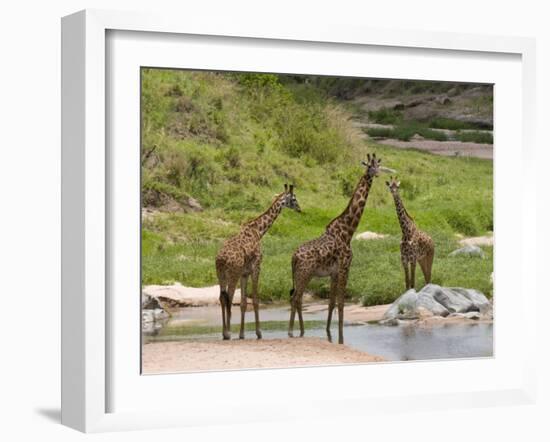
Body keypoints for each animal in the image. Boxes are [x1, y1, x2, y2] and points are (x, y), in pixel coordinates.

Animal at [216, 185, 302, 340]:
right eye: (293, 199)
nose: (300, 209)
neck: (259, 231)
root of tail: (220, 259)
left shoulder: (244, 273)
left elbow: (244, 303)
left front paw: (242, 334)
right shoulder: (256, 267)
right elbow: (256, 300)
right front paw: (259, 332)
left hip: (221, 275)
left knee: (222, 298)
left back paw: (225, 333)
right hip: (232, 274)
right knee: (228, 298)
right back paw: (228, 333)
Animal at [288, 154, 384, 344]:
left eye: (377, 165)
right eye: (370, 166)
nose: (376, 174)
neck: (348, 231)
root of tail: (293, 257)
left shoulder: (333, 272)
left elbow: (331, 302)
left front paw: (328, 332)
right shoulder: (345, 267)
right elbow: (341, 302)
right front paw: (341, 335)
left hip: (302, 274)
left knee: (297, 298)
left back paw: (300, 330)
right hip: (305, 273)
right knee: (295, 298)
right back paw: (292, 332)